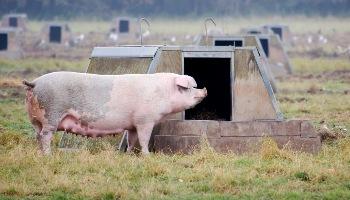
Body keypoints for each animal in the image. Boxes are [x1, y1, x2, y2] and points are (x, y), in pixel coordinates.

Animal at [23, 72, 206, 155]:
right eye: (190, 87)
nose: (205, 90)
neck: (163, 93)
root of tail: (34, 83)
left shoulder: (132, 124)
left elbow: (132, 139)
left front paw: (129, 154)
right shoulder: (145, 120)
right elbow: (144, 139)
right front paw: (147, 155)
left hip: (35, 120)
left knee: (37, 135)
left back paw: (40, 154)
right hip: (51, 114)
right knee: (45, 136)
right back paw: (48, 155)